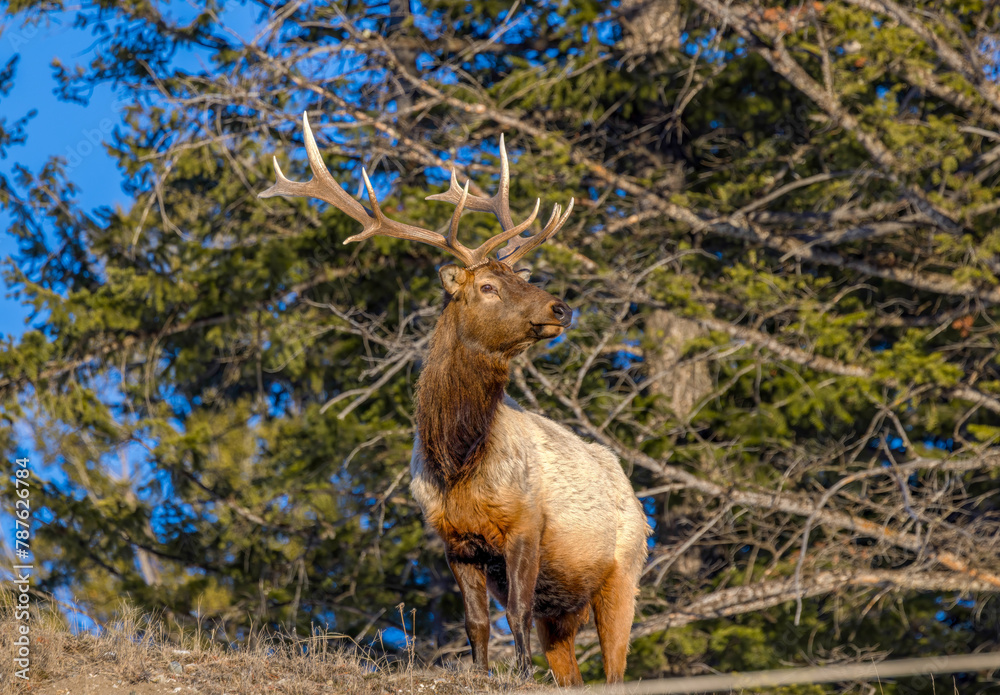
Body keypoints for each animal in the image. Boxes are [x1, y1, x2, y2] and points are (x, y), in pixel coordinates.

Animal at [260, 113, 650, 686]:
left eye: (518, 278)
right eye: (488, 286)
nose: (561, 307)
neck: (457, 460)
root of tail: (633, 492)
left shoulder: (526, 520)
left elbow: (516, 611)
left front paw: (520, 675)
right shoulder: (454, 540)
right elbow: (476, 622)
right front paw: (486, 673)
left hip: (625, 569)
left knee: (616, 667)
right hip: (566, 606)